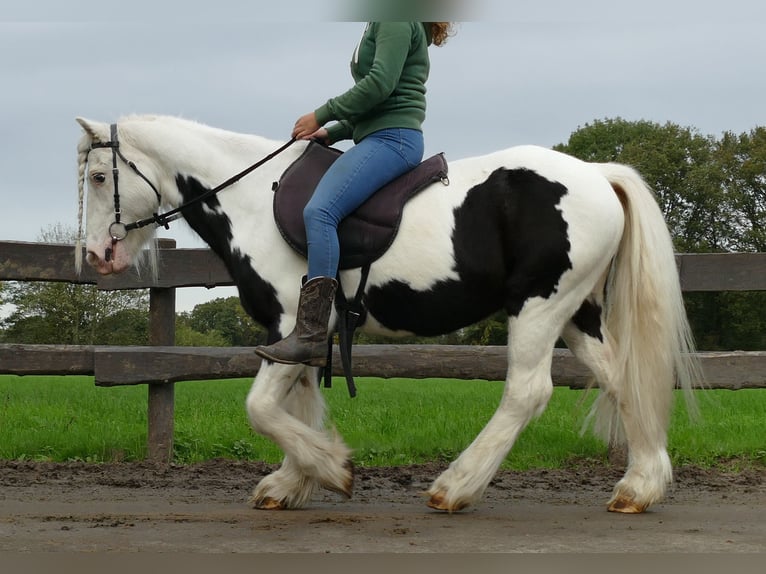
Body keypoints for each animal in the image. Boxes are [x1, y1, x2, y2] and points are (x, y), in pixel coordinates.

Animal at [76, 115, 704, 516]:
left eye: (99, 177)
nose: (97, 257)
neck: (252, 199)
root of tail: (598, 173)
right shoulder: (304, 337)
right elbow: (298, 405)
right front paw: (294, 481)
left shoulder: (288, 323)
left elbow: (261, 408)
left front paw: (331, 469)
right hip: (577, 313)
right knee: (622, 379)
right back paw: (640, 487)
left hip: (539, 306)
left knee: (527, 393)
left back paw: (456, 487)